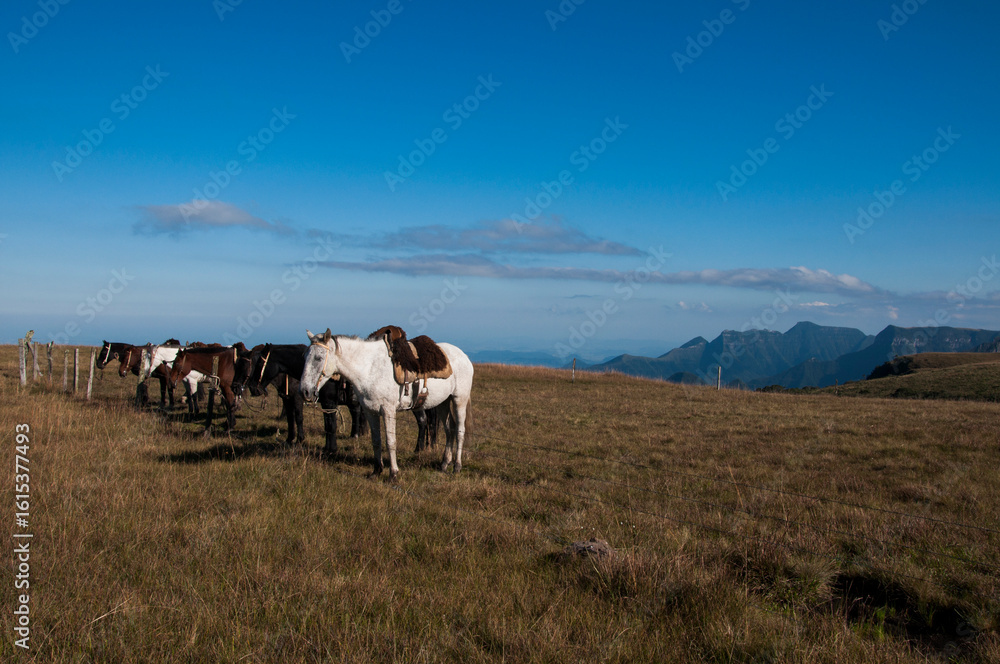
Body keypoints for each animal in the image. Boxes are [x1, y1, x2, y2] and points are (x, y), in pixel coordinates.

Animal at [300, 328, 473, 479]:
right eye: (305, 356)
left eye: (318, 358)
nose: (305, 391)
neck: (369, 369)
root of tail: (464, 356)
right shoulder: (370, 411)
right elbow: (376, 441)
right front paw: (376, 471)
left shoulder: (388, 410)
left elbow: (391, 441)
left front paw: (393, 473)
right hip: (443, 402)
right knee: (449, 429)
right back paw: (444, 464)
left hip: (459, 399)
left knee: (459, 430)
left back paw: (457, 466)